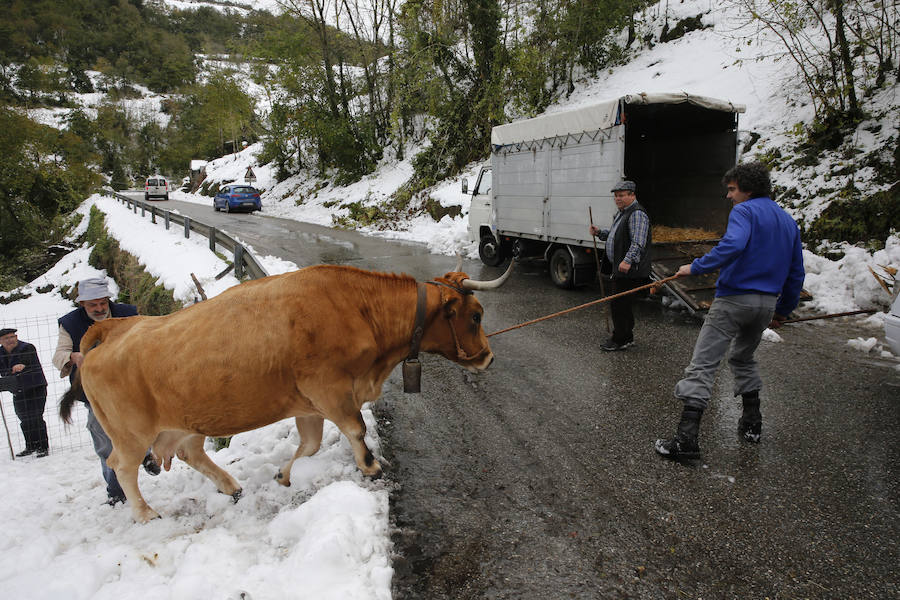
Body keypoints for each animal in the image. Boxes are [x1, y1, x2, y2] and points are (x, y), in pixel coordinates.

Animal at [61, 262, 512, 520]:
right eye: (475, 316)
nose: (489, 357)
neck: (358, 308)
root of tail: (116, 328)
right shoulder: (329, 388)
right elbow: (356, 429)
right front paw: (370, 467)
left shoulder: (309, 403)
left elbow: (309, 445)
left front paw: (283, 474)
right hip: (131, 432)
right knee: (122, 467)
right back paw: (145, 513)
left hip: (185, 423)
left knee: (190, 453)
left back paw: (231, 486)